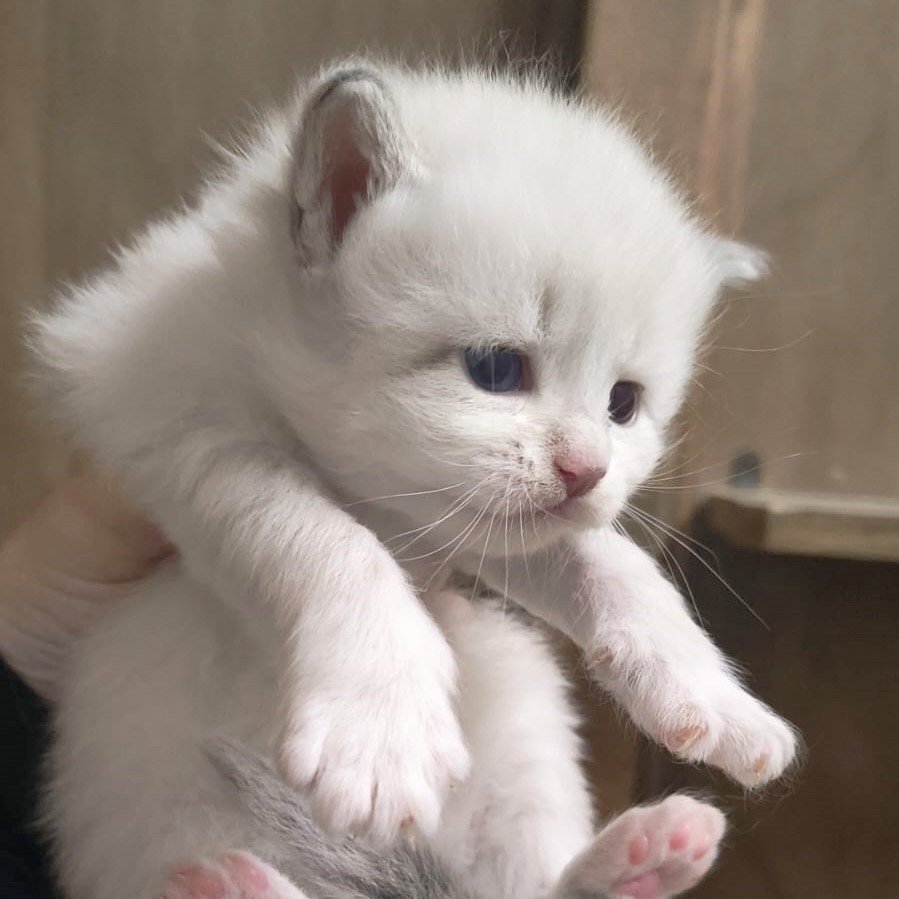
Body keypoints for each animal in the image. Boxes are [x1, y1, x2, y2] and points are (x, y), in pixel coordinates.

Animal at [31, 59, 796, 899]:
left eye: (622, 404)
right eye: (495, 368)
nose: (586, 470)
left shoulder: (484, 530)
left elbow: (610, 565)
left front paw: (709, 693)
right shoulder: (183, 436)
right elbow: (326, 541)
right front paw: (379, 733)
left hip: (527, 708)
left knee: (531, 887)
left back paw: (640, 856)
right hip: (151, 812)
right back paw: (240, 883)